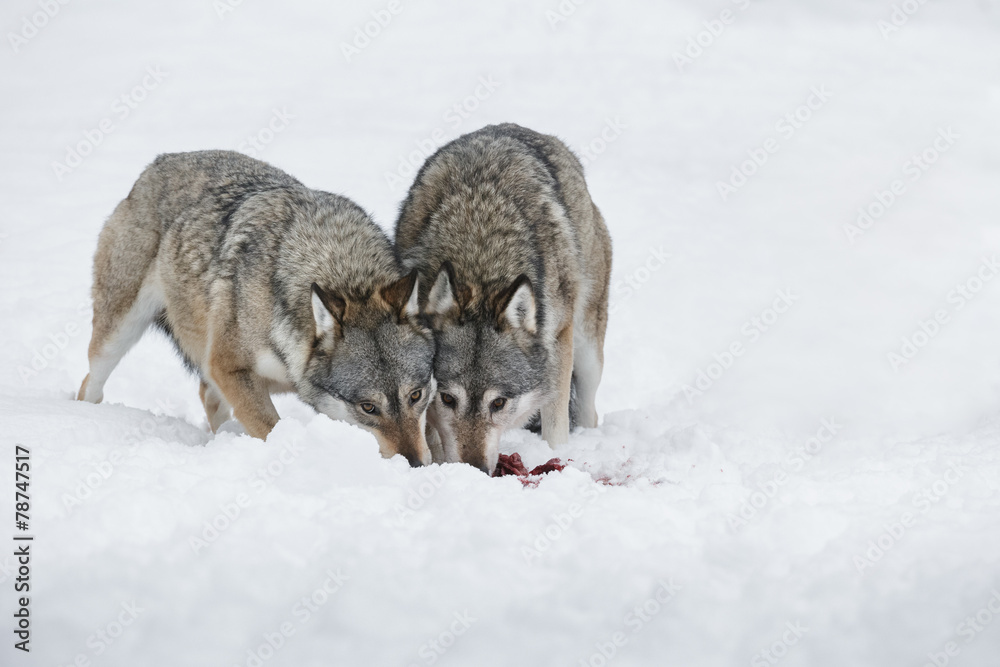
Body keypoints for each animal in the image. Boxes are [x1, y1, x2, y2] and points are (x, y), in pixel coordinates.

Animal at [78, 150, 435, 466]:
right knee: (89, 385)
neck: (341, 268)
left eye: (416, 396)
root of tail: (159, 161)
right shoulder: (227, 367)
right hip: (117, 335)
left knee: (207, 396)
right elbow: (272, 429)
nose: (416, 465)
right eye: (368, 407)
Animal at [395, 123, 612, 473]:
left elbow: (555, 424)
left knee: (588, 411)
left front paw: (558, 458)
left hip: (586, 349)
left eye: (498, 403)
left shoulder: (557, 345)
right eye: (447, 399)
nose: (476, 471)